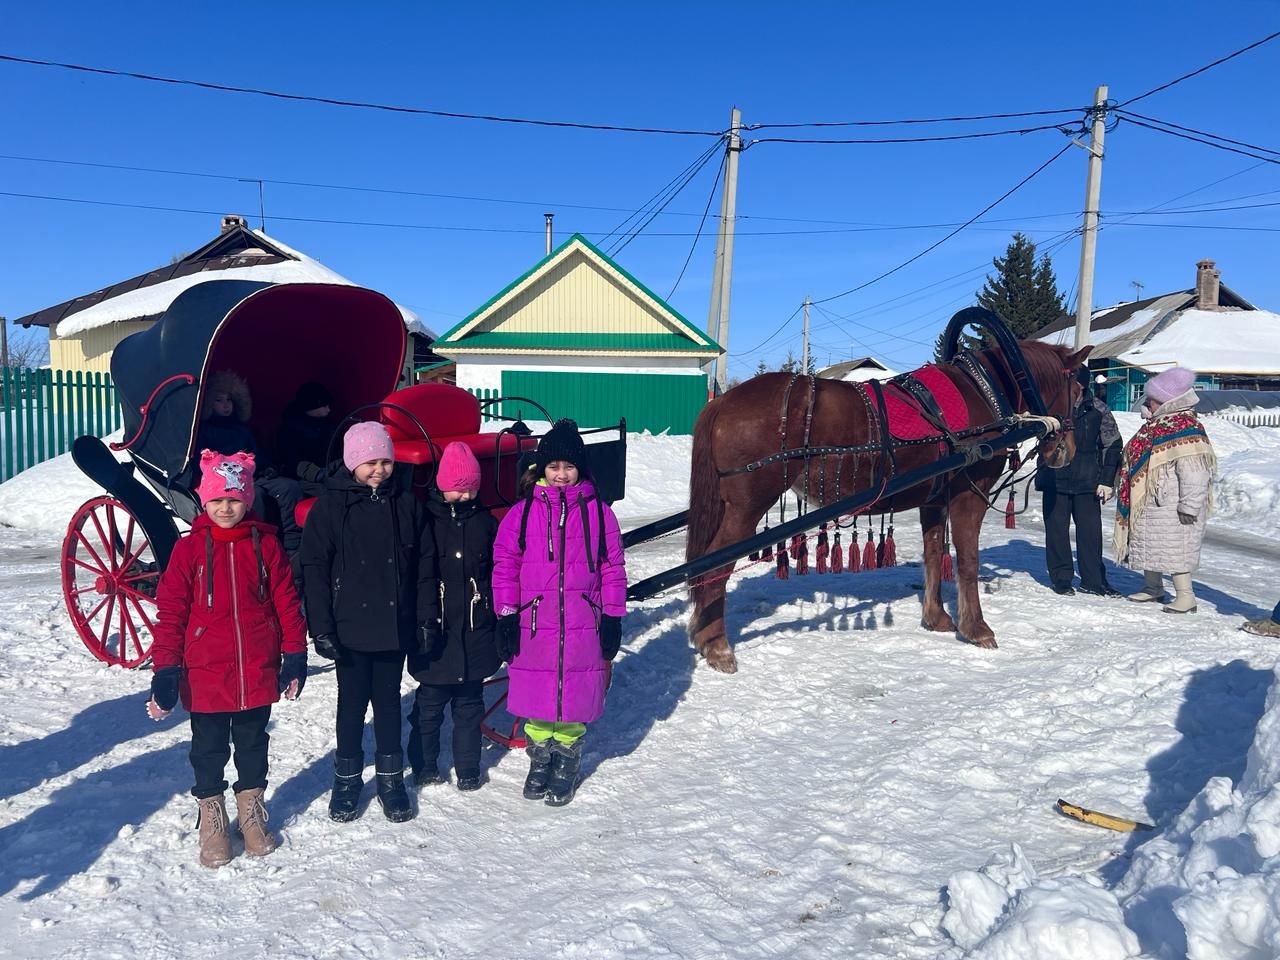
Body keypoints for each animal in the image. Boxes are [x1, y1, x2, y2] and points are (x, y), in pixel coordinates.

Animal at [686, 343, 1085, 670]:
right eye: (1080, 392)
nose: (1066, 453)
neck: (983, 391)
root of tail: (721, 401)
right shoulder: (968, 495)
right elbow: (967, 561)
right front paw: (977, 628)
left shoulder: (933, 501)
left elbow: (933, 553)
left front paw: (937, 618)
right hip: (746, 506)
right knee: (714, 565)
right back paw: (716, 645)